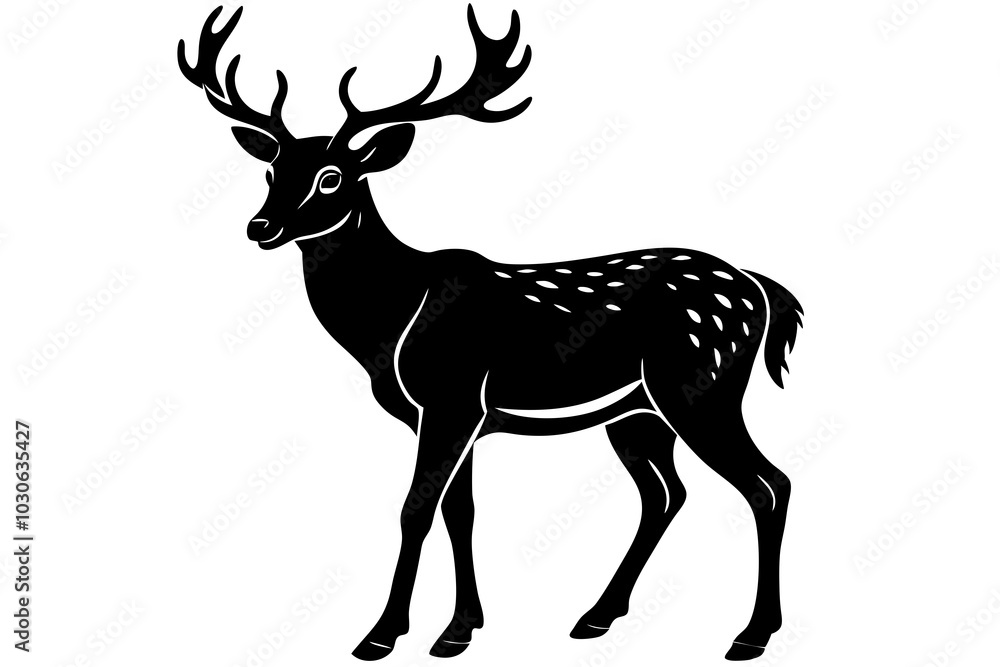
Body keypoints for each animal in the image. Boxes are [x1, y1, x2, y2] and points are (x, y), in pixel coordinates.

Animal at [179, 5, 804, 662]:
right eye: (271, 169)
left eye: (332, 176)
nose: (261, 226)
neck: (390, 325)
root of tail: (761, 290)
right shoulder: (455, 416)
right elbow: (462, 511)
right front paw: (459, 630)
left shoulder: (452, 397)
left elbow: (415, 510)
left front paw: (381, 635)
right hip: (637, 412)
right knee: (666, 494)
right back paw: (597, 617)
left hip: (701, 384)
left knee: (769, 484)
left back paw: (751, 634)